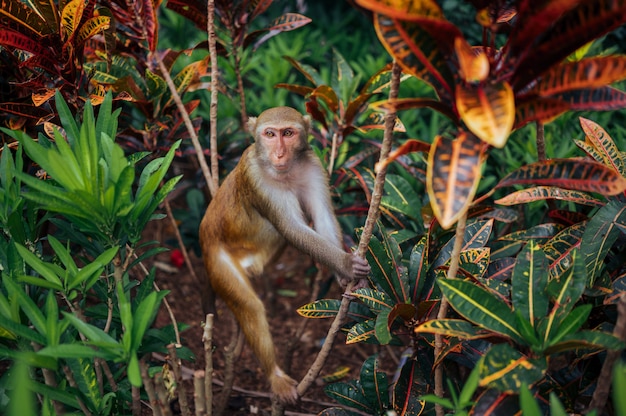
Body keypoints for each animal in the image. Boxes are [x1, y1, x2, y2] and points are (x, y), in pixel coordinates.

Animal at [197, 106, 368, 404]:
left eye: (288, 133)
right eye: (269, 134)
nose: (279, 154)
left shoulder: (313, 167)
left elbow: (322, 217)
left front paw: (345, 277)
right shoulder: (255, 178)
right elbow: (291, 227)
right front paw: (348, 264)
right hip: (217, 259)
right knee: (249, 306)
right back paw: (276, 377)